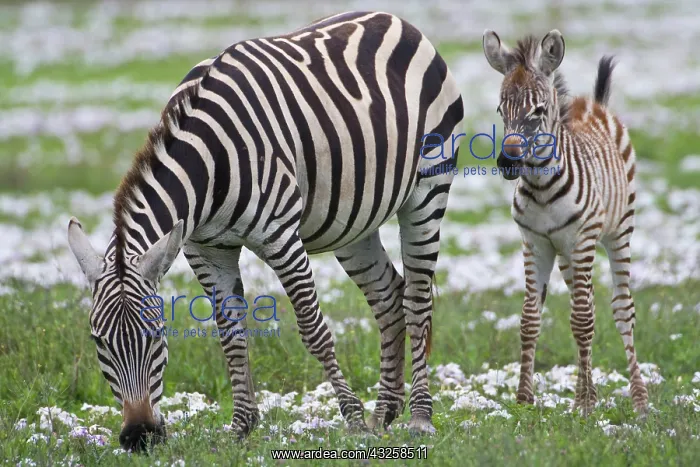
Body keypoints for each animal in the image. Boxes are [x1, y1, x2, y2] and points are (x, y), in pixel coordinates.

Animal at [67, 11, 464, 451]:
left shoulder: (280, 236)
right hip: (354, 222)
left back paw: (420, 417)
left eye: (156, 335)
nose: (139, 436)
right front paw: (241, 426)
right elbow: (230, 334)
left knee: (417, 300)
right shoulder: (205, 250)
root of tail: (395, 18)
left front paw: (353, 420)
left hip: (429, 188)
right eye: (98, 342)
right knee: (388, 295)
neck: (208, 165)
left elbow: (313, 329)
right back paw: (385, 413)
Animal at [481, 29, 648, 415]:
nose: (507, 163)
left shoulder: (581, 239)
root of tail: (595, 103)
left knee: (621, 308)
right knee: (587, 302)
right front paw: (524, 400)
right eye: (500, 110)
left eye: (538, 111)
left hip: (618, 233)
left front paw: (583, 406)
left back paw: (639, 399)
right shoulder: (535, 243)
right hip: (566, 255)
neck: (542, 188)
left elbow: (582, 320)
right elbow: (530, 318)